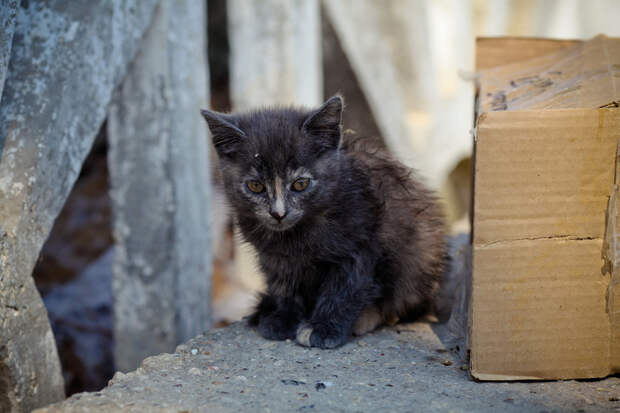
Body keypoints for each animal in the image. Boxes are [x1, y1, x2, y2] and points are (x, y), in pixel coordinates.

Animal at [201, 96, 448, 348]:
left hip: (418, 256)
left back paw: (367, 316)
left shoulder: (361, 244)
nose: (278, 213)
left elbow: (345, 288)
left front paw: (324, 328)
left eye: (300, 184)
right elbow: (283, 284)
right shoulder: (273, 256)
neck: (296, 234)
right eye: (256, 186)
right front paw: (283, 318)